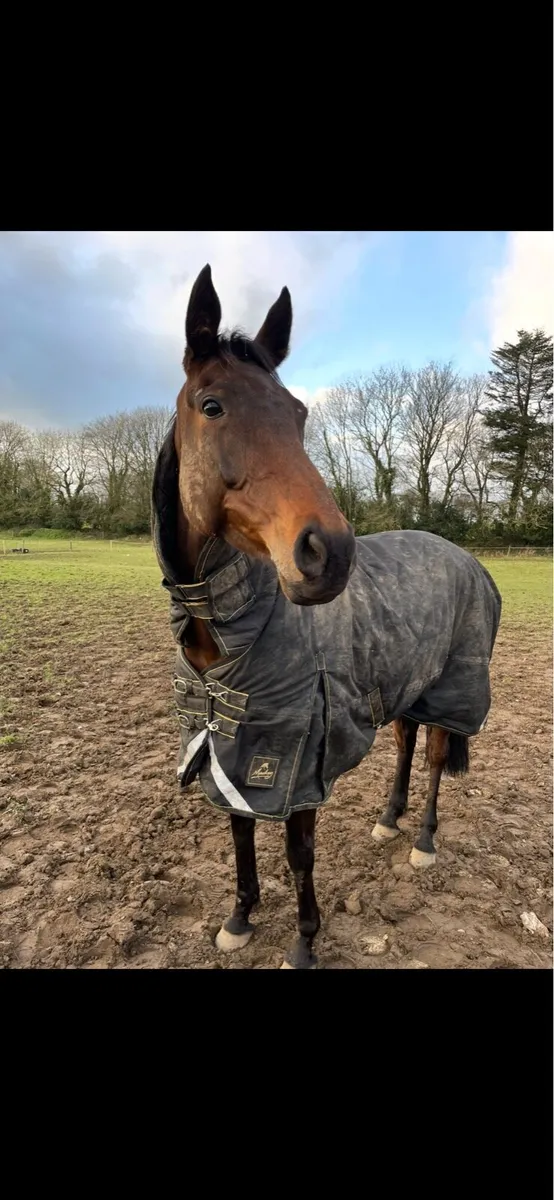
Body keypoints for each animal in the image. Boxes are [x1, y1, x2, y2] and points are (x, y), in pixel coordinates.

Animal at [152, 264, 502, 970]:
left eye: (298, 413)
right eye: (212, 405)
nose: (330, 552)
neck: (231, 625)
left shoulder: (298, 752)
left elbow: (298, 852)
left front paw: (304, 941)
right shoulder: (231, 740)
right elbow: (239, 831)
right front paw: (239, 918)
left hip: (454, 686)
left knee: (434, 757)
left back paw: (422, 841)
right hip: (409, 685)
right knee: (406, 743)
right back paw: (389, 819)